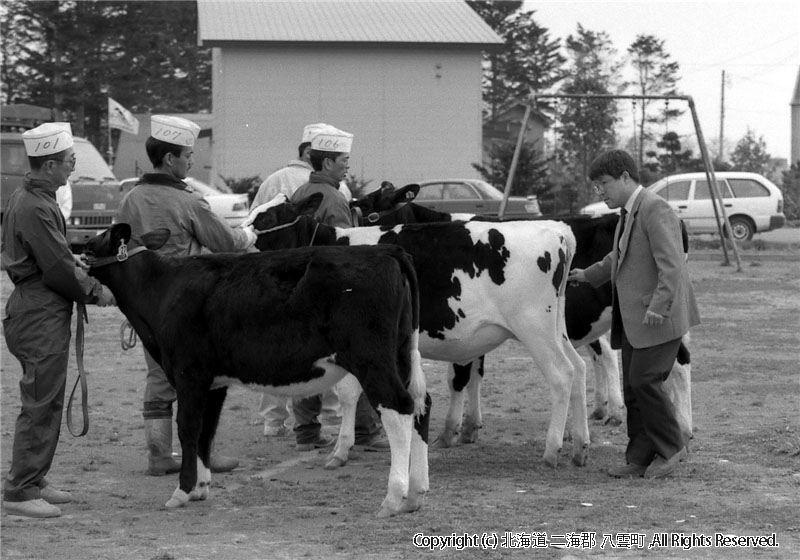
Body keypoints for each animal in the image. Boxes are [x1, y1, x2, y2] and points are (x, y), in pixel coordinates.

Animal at [84, 222, 428, 516]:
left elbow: (188, 428)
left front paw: (181, 491)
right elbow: (207, 430)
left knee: (399, 408)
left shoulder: (188, 373)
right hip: (402, 353)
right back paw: (414, 495)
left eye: (89, 244)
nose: (77, 255)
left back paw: (393, 498)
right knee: (421, 405)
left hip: (372, 359)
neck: (162, 288)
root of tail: (387, 251)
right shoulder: (215, 381)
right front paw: (201, 487)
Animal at [252, 194, 592, 468]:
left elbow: (349, 393)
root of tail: (557, 230)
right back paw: (579, 446)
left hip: (533, 326)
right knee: (579, 368)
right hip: (554, 327)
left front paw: (341, 451)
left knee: (562, 374)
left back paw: (552, 450)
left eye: (265, 219)